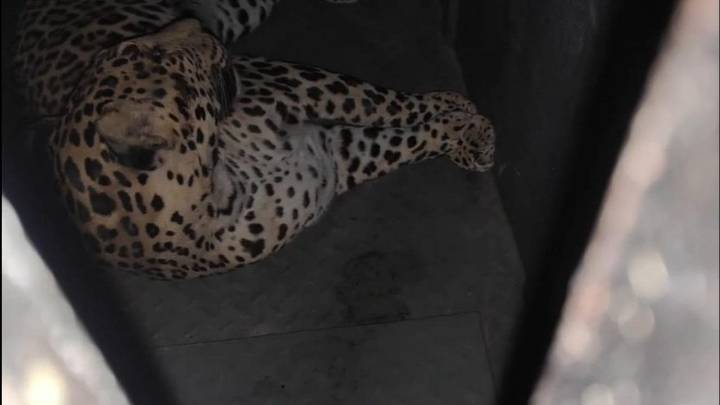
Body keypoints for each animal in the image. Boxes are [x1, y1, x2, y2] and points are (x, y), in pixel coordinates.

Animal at [14, 1, 495, 279]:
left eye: (131, 51)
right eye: (155, 54)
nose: (194, 23)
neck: (217, 182)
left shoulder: (298, 83)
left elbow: (387, 103)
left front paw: (463, 117)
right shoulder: (332, 156)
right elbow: (400, 140)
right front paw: (465, 129)